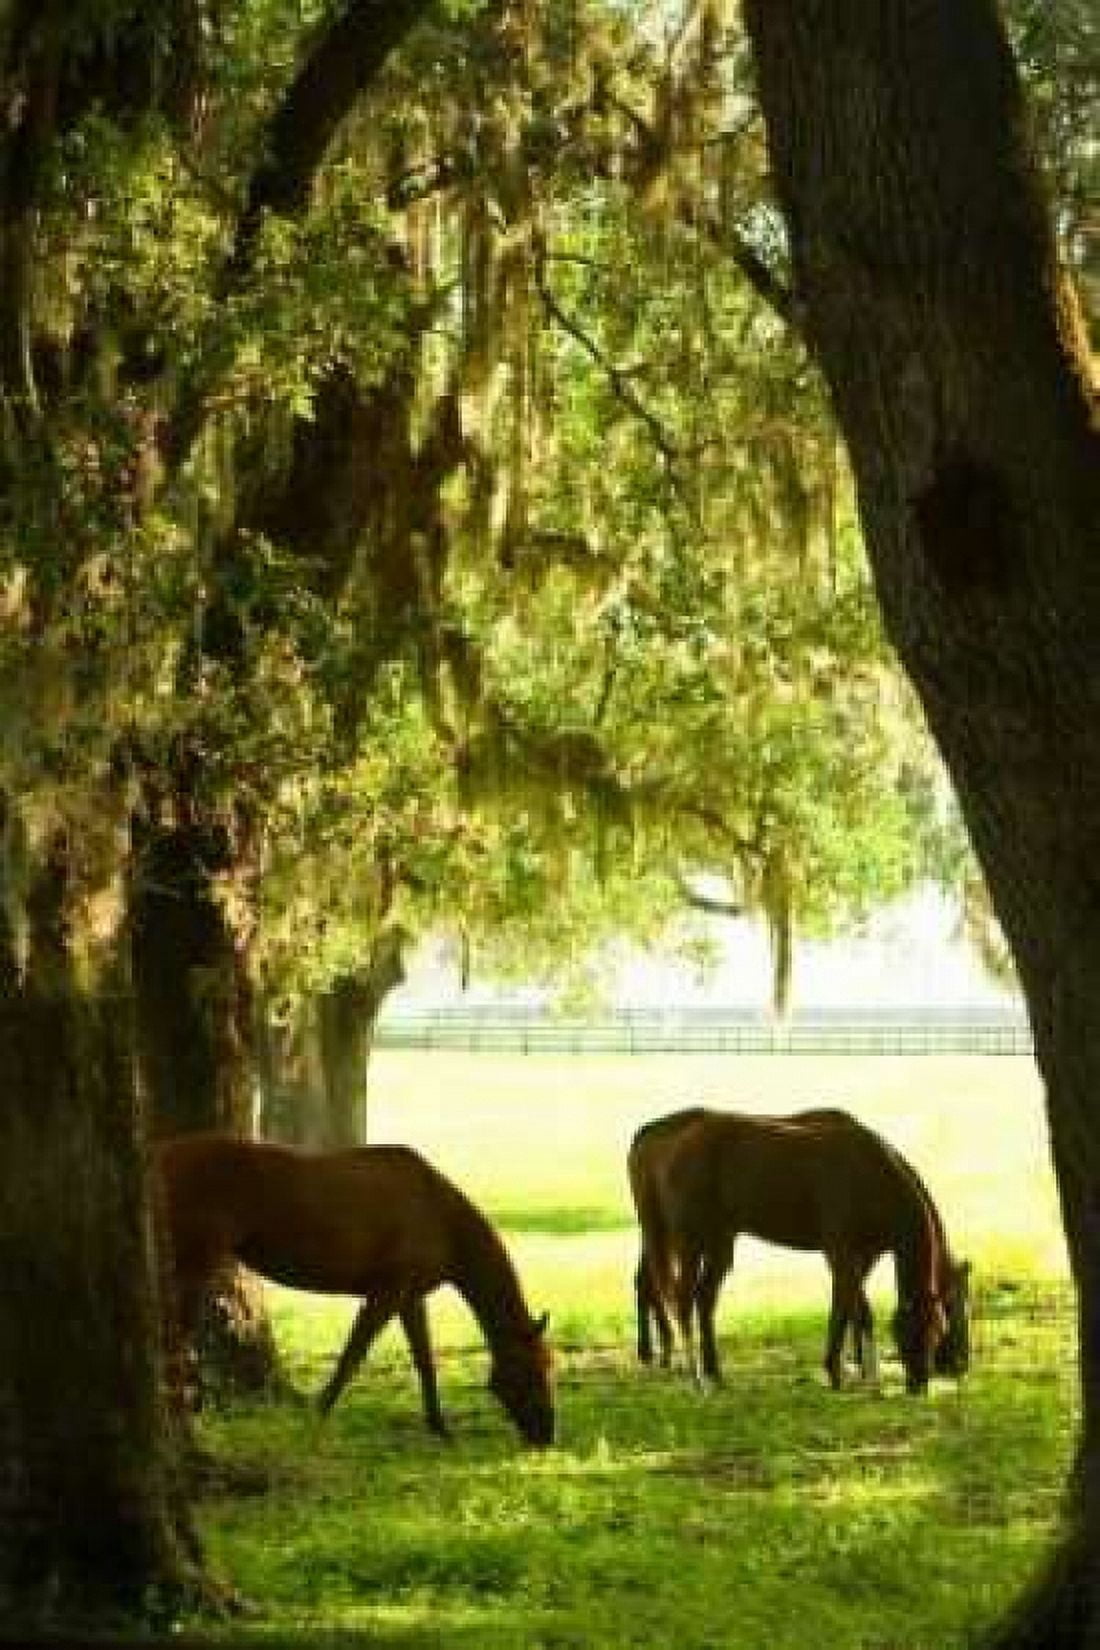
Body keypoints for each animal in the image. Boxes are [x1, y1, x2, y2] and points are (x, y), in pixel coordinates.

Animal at [154, 1133, 555, 1446]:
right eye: (533, 1369)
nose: (547, 1435)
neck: (440, 1217)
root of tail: (161, 1156)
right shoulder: (387, 1291)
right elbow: (353, 1354)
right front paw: (318, 1415)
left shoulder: (411, 1296)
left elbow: (424, 1361)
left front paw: (439, 1427)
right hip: (194, 1261)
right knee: (176, 1336)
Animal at [628, 1105, 970, 1394]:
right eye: (912, 1331)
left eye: (938, 1328)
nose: (919, 1386)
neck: (870, 1176)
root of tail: (675, 1140)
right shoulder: (841, 1254)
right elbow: (848, 1309)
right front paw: (839, 1373)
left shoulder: (864, 1257)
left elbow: (857, 1310)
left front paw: (865, 1375)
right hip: (688, 1242)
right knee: (681, 1300)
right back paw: (697, 1379)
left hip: (718, 1243)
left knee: (703, 1299)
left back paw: (715, 1374)